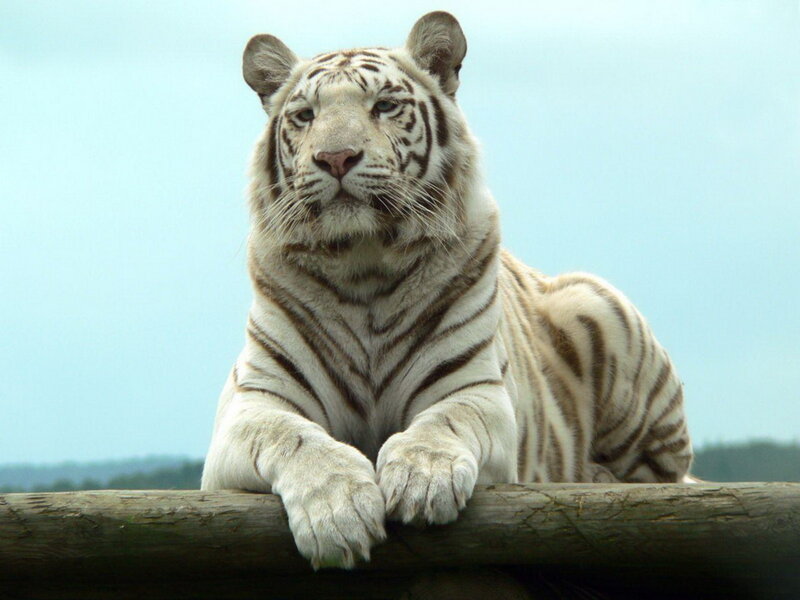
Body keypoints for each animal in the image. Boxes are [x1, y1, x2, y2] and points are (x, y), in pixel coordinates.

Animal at [200, 11, 694, 570]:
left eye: (384, 105)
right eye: (305, 115)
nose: (336, 157)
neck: (362, 266)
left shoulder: (473, 389)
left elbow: (444, 423)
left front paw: (420, 480)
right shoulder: (254, 404)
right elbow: (297, 439)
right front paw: (338, 511)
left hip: (596, 307)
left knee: (663, 476)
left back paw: (593, 476)